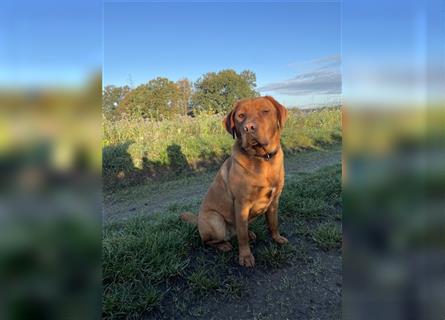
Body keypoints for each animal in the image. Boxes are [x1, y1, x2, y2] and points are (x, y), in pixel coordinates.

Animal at [180, 95, 288, 268]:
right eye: (241, 116)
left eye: (265, 111)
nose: (249, 128)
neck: (262, 159)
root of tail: (198, 220)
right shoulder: (241, 203)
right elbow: (242, 237)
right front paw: (245, 256)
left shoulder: (274, 200)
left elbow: (273, 223)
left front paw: (277, 238)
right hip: (215, 221)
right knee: (209, 241)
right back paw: (224, 245)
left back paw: (249, 234)